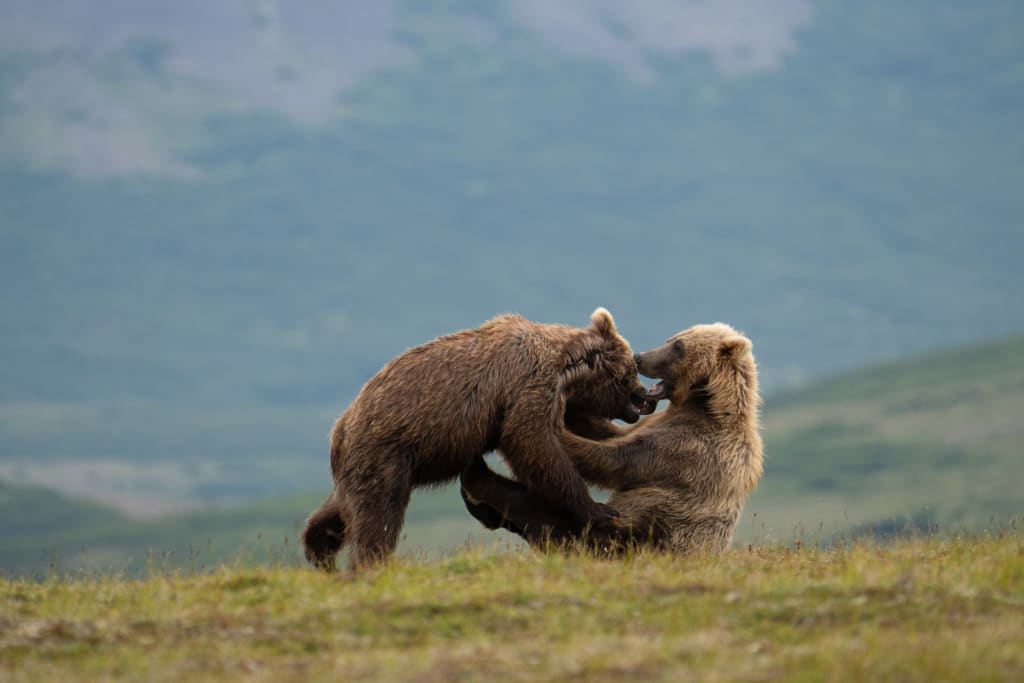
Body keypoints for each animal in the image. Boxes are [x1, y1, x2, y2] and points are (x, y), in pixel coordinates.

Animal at [300, 308, 652, 570]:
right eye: (630, 370)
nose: (645, 395)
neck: (565, 367)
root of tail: (339, 429)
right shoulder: (527, 386)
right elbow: (533, 443)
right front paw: (597, 509)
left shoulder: (561, 399)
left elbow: (580, 426)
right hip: (386, 450)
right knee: (378, 514)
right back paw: (367, 565)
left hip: (367, 463)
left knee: (342, 507)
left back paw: (319, 548)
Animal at [460, 322, 763, 556]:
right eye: (673, 338)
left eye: (678, 346)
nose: (640, 356)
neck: (704, 404)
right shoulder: (661, 421)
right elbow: (613, 433)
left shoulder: (688, 449)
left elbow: (615, 460)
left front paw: (558, 416)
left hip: (634, 537)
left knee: (553, 517)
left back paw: (478, 483)